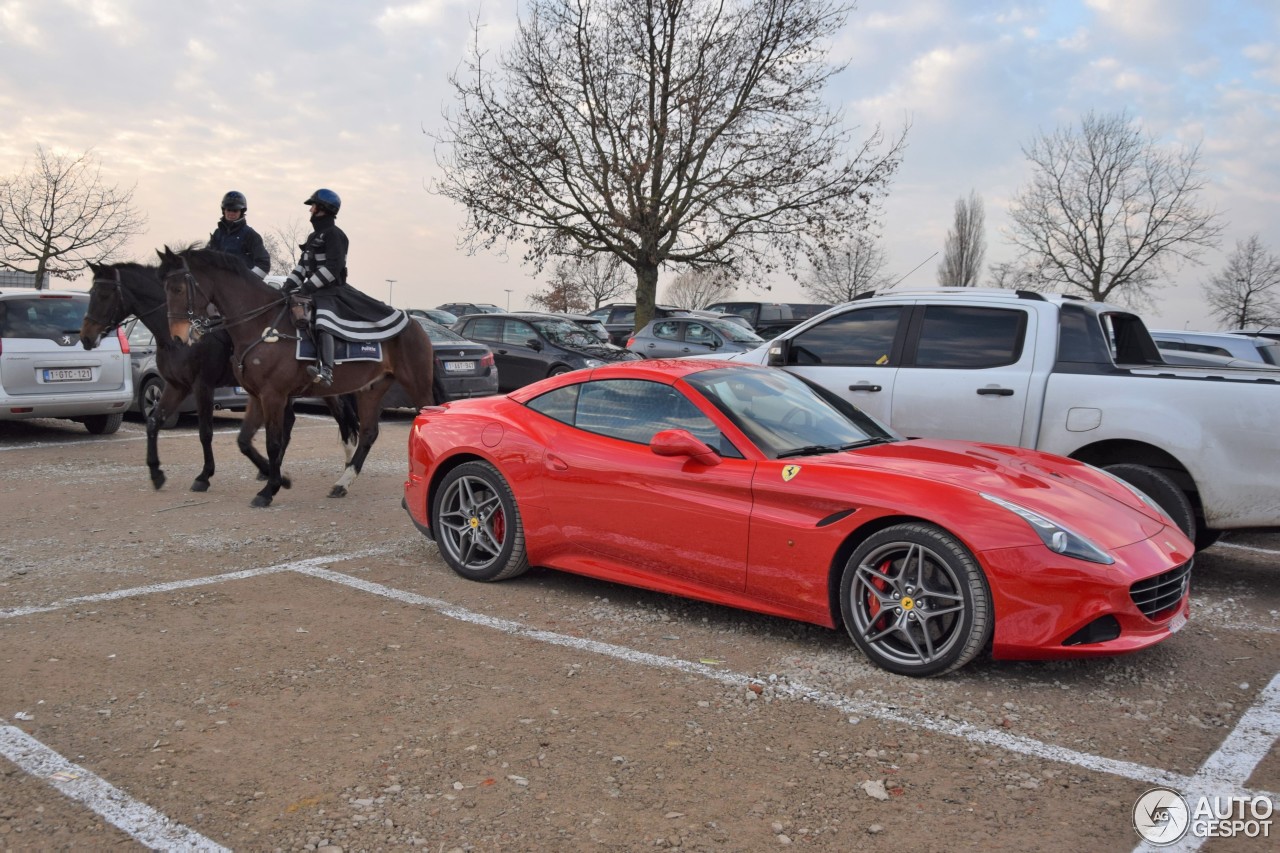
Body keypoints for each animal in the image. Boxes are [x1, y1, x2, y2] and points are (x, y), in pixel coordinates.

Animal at [80, 262, 363, 494]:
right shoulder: (176, 386)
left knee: (340, 419)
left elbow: (205, 432)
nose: (85, 337)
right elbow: (153, 422)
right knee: (292, 423)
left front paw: (204, 476)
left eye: (103, 295)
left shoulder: (202, 386)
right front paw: (156, 473)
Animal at [156, 244, 445, 504]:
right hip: (370, 390)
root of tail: (416, 324)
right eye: (165, 289)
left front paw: (269, 489)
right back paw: (343, 482)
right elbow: (244, 440)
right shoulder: (256, 396)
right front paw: (278, 479)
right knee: (367, 433)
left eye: (178, 289)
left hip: (416, 384)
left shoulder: (272, 395)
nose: (178, 338)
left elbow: (272, 441)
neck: (261, 324)